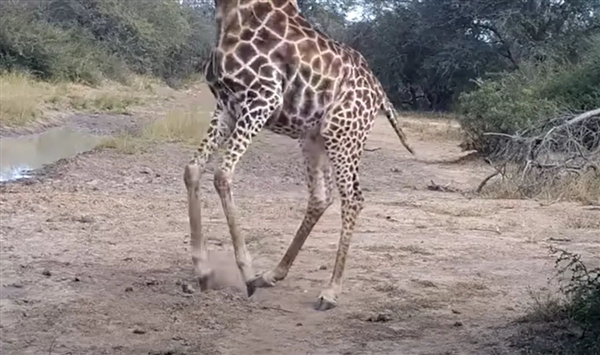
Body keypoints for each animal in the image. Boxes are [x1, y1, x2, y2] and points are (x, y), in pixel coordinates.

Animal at [184, 0, 418, 312]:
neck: (233, 11)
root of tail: (380, 93)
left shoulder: (262, 99)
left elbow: (222, 174)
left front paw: (246, 272)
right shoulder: (226, 105)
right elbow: (193, 169)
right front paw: (204, 270)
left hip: (344, 134)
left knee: (353, 198)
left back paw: (330, 291)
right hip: (314, 138)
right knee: (321, 196)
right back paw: (272, 274)